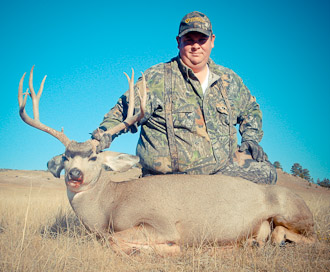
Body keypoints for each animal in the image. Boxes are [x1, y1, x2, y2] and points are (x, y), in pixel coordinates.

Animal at [17, 66, 314, 255]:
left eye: (93, 157)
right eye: (66, 158)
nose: (74, 175)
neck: (110, 204)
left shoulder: (159, 223)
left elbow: (114, 240)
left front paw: (164, 249)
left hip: (293, 214)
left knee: (306, 236)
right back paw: (253, 242)